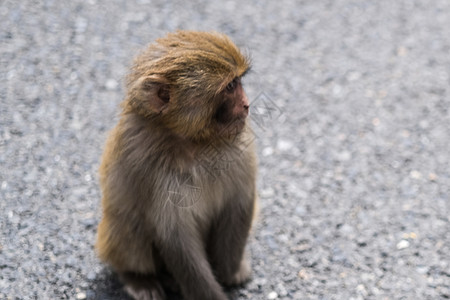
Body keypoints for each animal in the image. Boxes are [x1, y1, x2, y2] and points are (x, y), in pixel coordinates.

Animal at [96, 31, 258, 300]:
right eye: (230, 87)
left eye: (238, 82)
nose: (246, 104)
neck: (195, 143)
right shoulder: (146, 163)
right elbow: (174, 235)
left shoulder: (240, 147)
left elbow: (238, 205)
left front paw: (231, 272)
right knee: (128, 226)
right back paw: (139, 279)